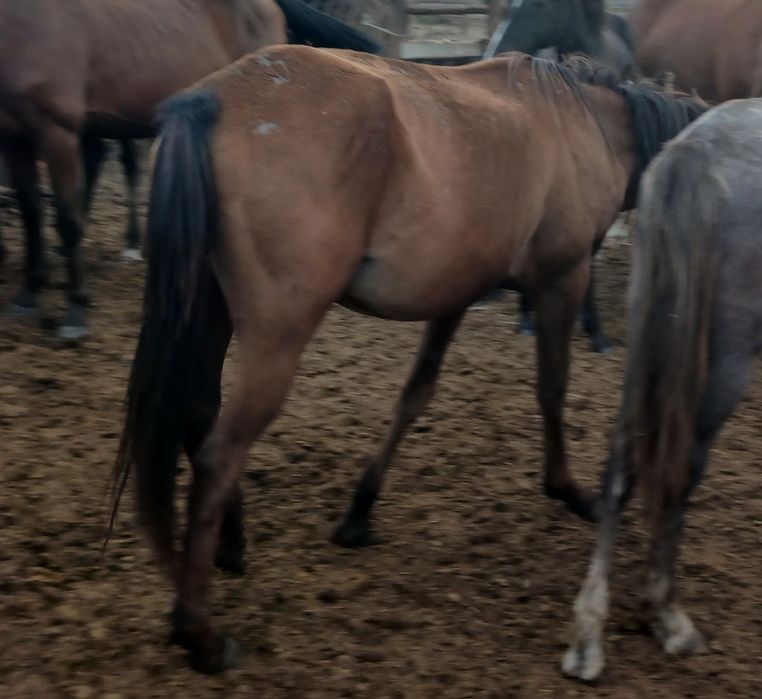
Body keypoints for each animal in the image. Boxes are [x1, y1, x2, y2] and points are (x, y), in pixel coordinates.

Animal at [0, 0, 381, 340]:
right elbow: (32, 212)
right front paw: (28, 294)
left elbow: (68, 221)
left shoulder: (58, 132)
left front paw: (76, 311)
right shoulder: (16, 137)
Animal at [108, 47, 704, 672]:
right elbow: (552, 386)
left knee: (200, 415)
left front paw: (360, 511)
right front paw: (567, 488)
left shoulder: (458, 292)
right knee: (220, 454)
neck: (585, 124)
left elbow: (416, 394)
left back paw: (229, 543)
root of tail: (215, 99)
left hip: (210, 309)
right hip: (277, 337)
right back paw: (197, 629)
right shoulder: (562, 280)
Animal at [563, 98, 762, 682]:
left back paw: (590, 631)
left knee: (622, 460)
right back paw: (666, 614)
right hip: (722, 359)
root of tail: (697, 150)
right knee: (682, 467)